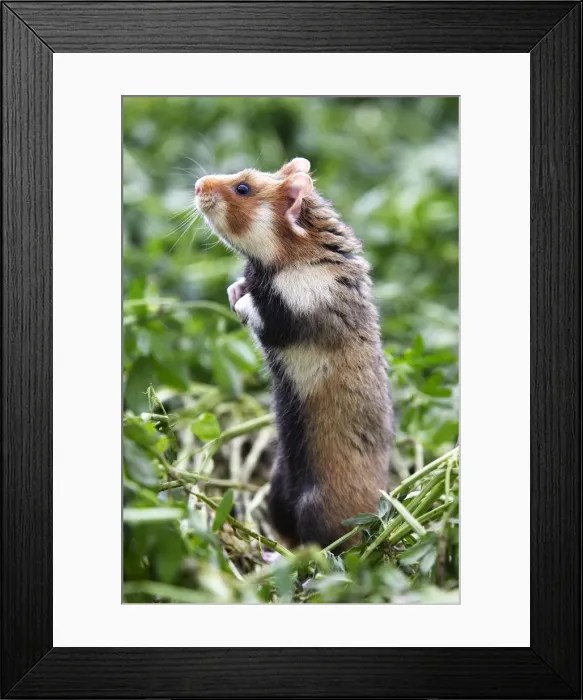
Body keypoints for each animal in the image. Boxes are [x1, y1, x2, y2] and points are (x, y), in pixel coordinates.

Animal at [195, 157, 393, 549]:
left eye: (243, 188)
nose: (197, 185)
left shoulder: (298, 307)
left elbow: (262, 313)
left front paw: (240, 300)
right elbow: (243, 288)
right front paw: (234, 289)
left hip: (318, 506)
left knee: (324, 546)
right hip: (277, 489)